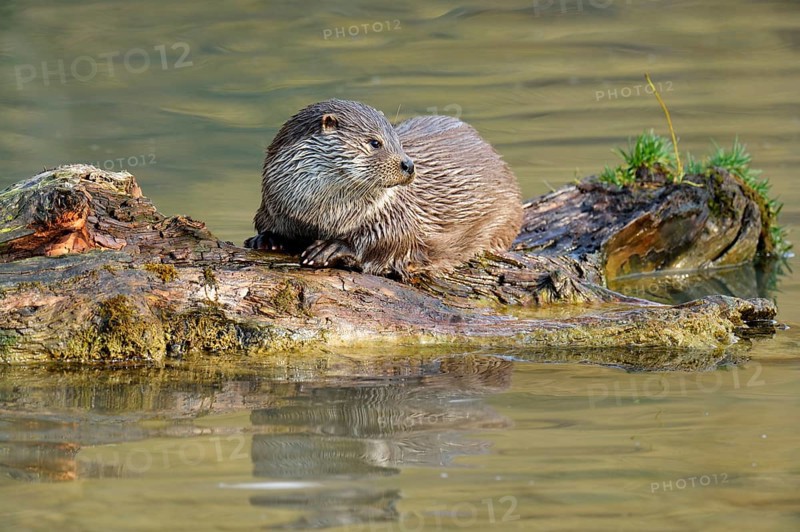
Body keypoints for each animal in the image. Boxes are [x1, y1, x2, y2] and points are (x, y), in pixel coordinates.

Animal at [244, 99, 522, 278]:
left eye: (398, 142)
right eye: (374, 142)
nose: (409, 164)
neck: (319, 216)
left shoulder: (395, 214)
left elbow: (391, 240)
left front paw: (333, 247)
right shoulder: (273, 204)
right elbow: (267, 224)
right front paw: (267, 238)